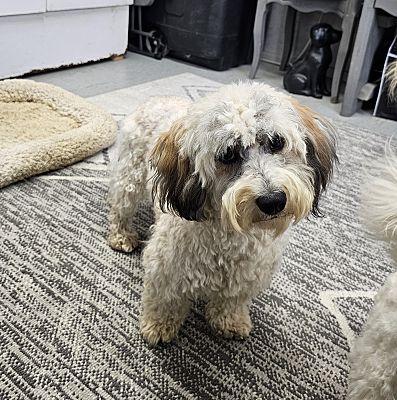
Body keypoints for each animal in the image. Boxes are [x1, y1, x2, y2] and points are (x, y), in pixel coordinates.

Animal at [106, 83, 336, 346]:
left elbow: (232, 301)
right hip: (130, 176)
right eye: (227, 154)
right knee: (120, 207)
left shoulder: (246, 275)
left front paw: (230, 322)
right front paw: (159, 326)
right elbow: (165, 301)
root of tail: (157, 98)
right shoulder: (165, 267)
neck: (230, 234)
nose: (273, 201)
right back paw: (121, 236)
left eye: (277, 142)